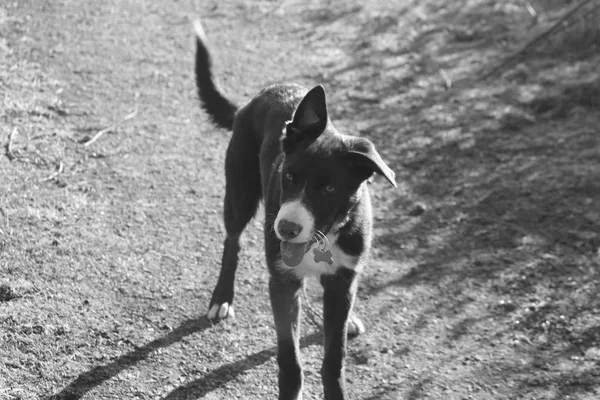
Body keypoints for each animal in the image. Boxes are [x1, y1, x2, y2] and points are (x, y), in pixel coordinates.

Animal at [195, 19, 396, 400]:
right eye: (288, 175)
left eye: (330, 188)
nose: (286, 229)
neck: (323, 239)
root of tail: (253, 100)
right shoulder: (283, 282)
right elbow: (289, 356)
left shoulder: (342, 281)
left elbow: (334, 357)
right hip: (240, 194)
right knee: (232, 242)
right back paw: (221, 297)